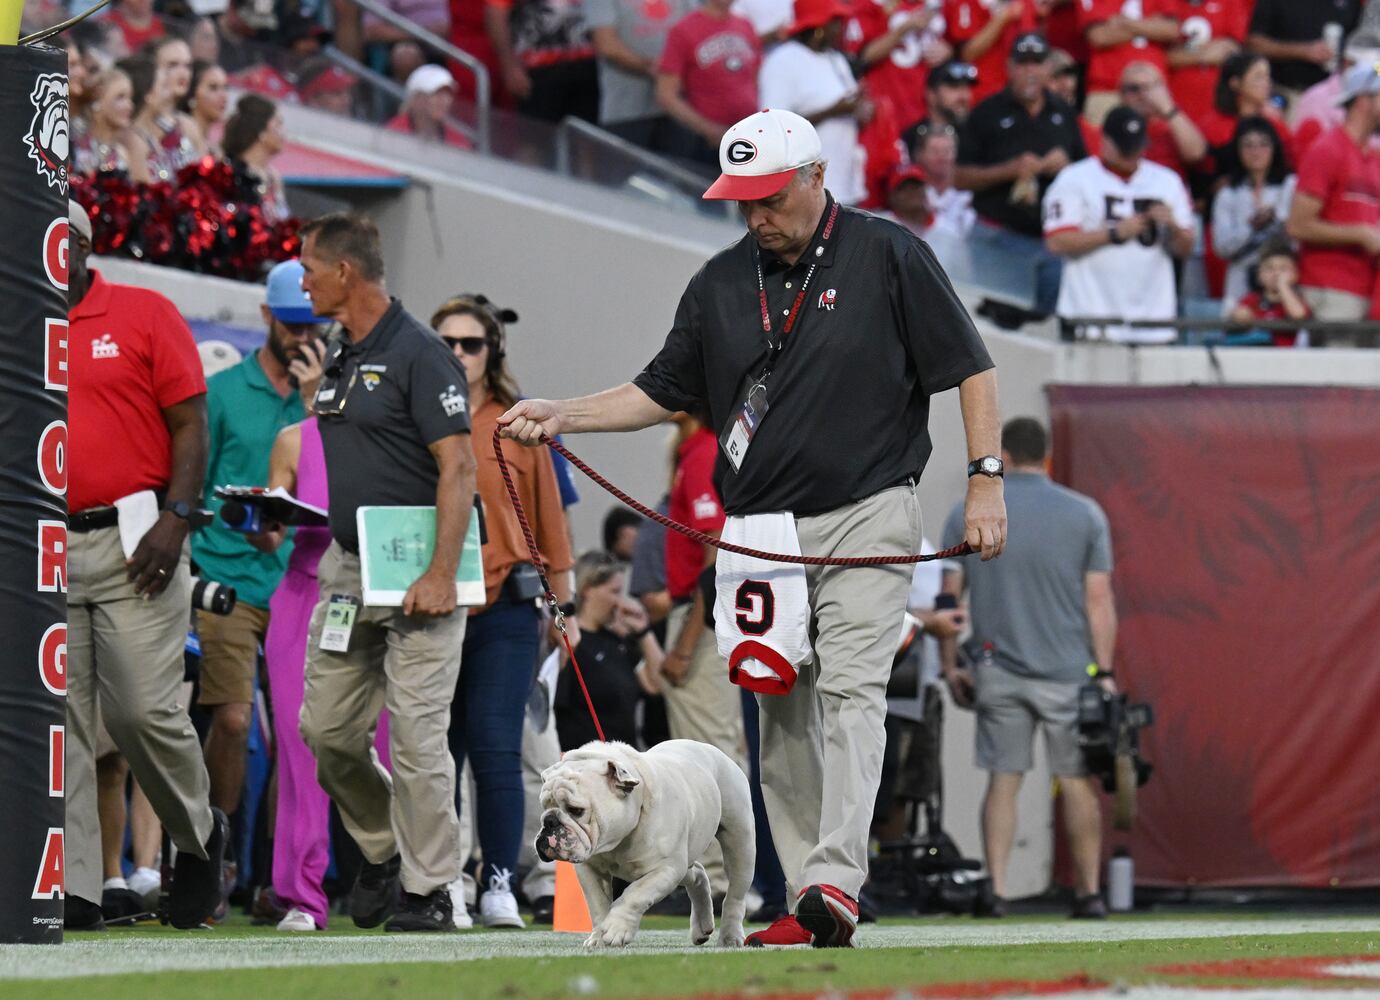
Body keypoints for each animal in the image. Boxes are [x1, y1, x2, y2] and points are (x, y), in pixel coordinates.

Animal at [535, 739, 755, 948]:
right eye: (544, 806)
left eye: (576, 810)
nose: (549, 821)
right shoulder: (590, 871)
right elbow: (598, 905)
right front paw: (598, 938)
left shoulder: (665, 869)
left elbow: (635, 895)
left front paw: (616, 929)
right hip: (684, 863)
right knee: (698, 874)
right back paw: (702, 927)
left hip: (740, 842)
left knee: (735, 895)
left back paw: (730, 936)